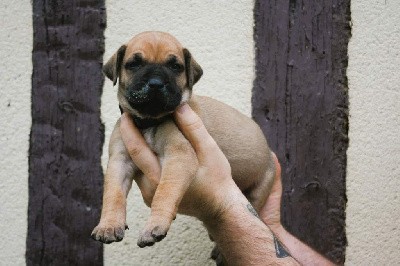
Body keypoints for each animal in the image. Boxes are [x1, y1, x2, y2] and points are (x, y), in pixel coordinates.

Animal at [92, 31, 276, 249]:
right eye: (134, 64)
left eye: (175, 66)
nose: (155, 84)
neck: (150, 121)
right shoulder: (119, 161)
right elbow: (113, 194)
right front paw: (109, 225)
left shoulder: (179, 158)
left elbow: (164, 191)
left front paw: (155, 225)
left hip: (259, 189)